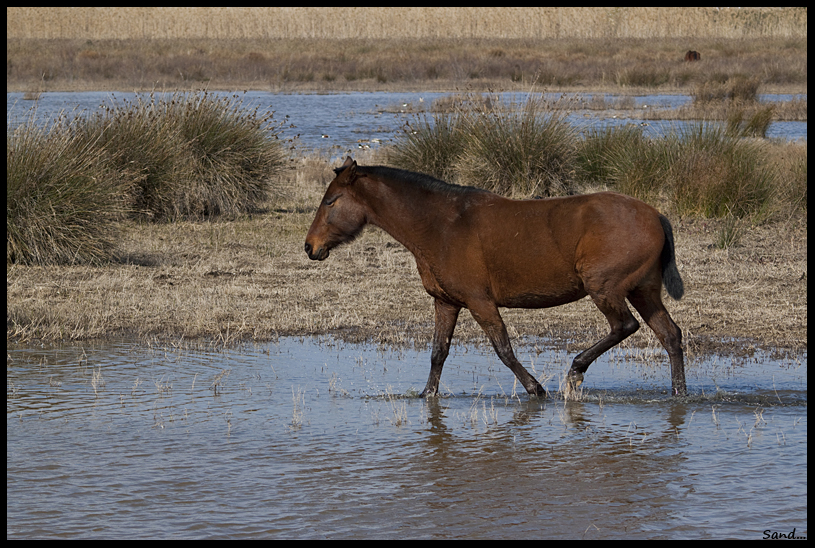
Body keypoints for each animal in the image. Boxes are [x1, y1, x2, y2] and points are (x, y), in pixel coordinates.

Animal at [306, 156, 688, 396]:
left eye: (331, 200)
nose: (311, 247)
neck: (440, 225)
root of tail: (655, 215)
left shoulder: (479, 302)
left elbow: (503, 349)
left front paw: (536, 388)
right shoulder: (446, 302)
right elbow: (438, 353)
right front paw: (426, 394)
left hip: (605, 289)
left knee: (624, 326)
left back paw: (575, 371)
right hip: (643, 291)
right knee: (670, 336)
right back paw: (679, 393)